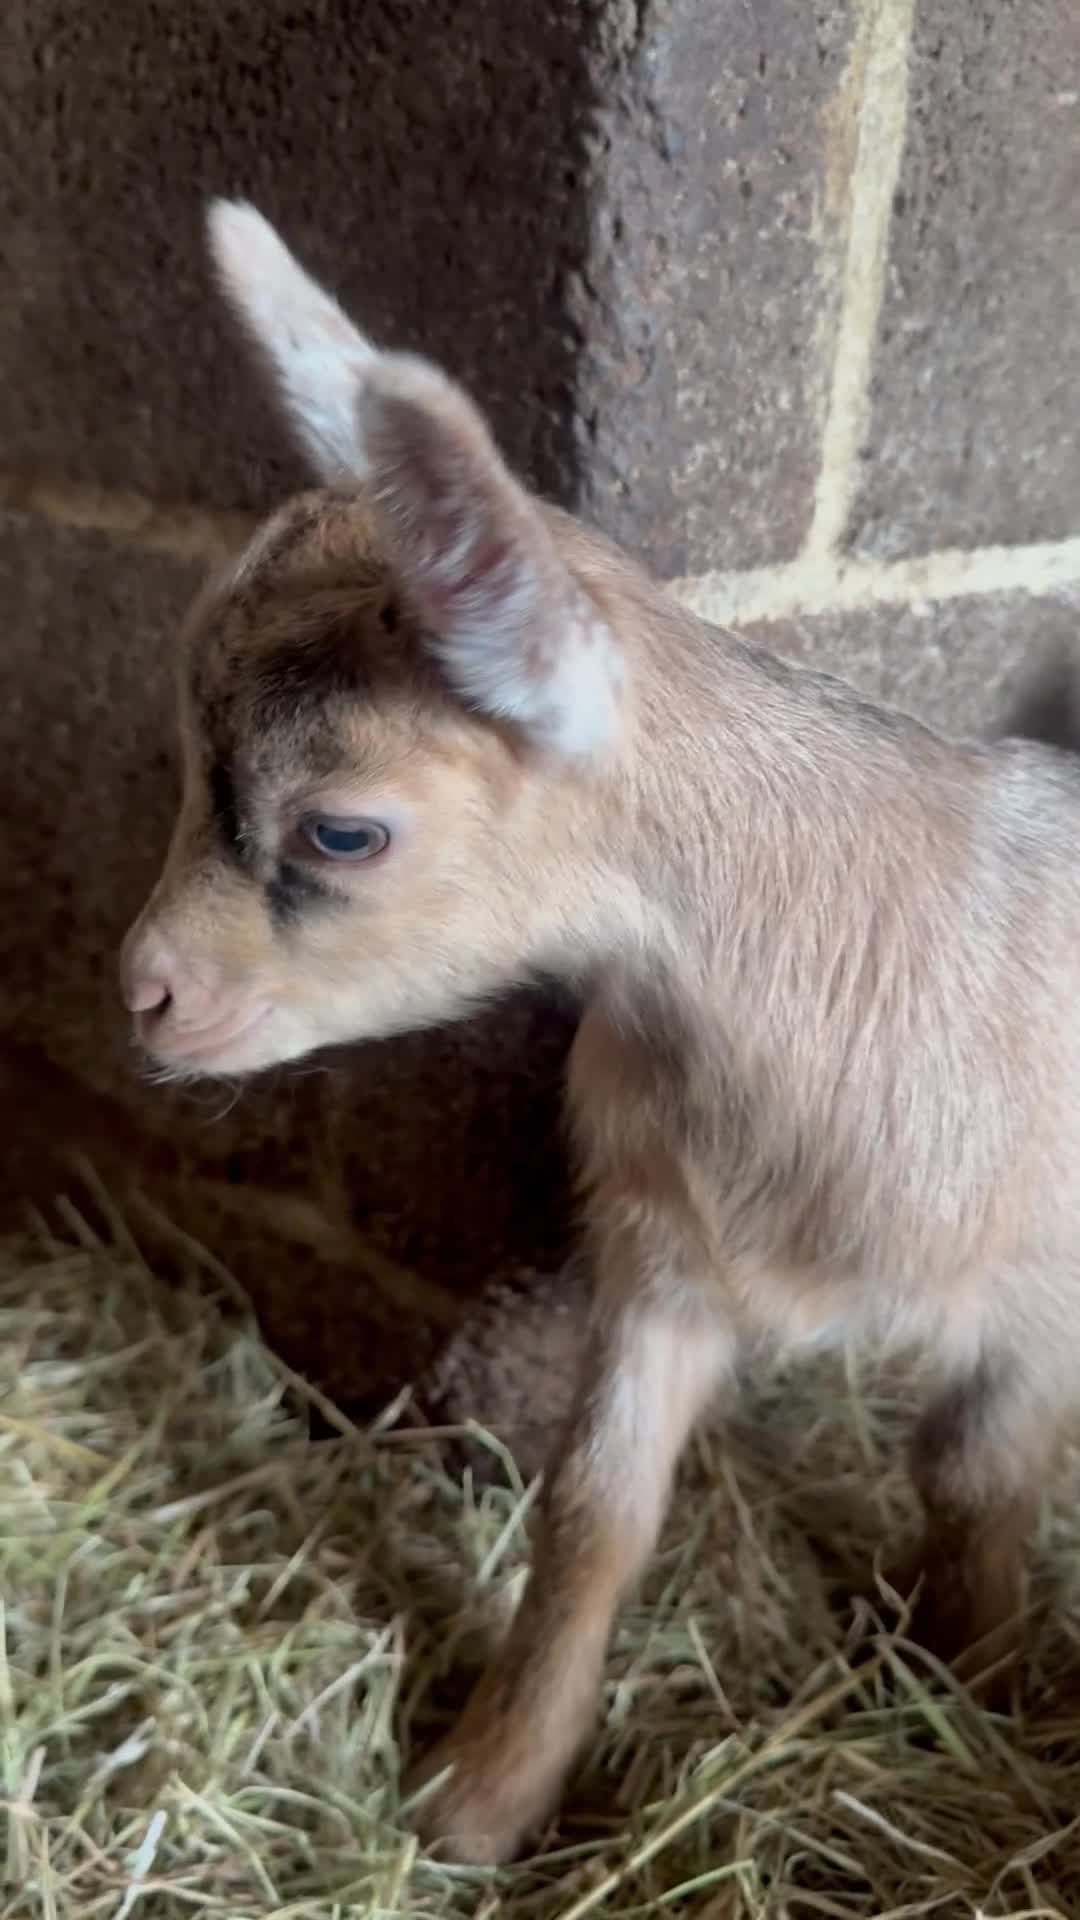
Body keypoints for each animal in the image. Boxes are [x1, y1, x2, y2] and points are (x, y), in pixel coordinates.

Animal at [122, 201, 1080, 1863]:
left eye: (345, 829)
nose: (144, 993)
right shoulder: (661, 1264)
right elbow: (592, 1510)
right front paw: (480, 1796)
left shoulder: (1038, 1289)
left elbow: (975, 1478)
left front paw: (981, 1686)